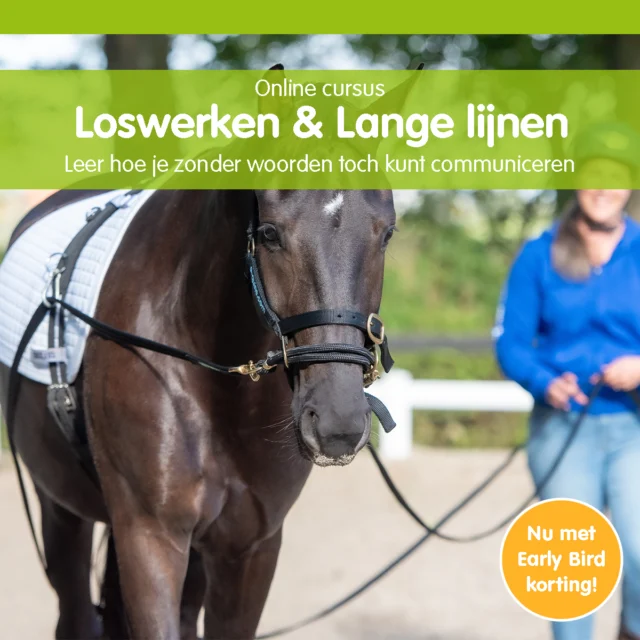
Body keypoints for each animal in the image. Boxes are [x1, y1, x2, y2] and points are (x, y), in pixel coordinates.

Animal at [0, 185, 397, 639]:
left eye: (386, 234)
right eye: (269, 233)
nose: (338, 424)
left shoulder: (250, 546)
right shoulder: (150, 536)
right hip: (61, 509)